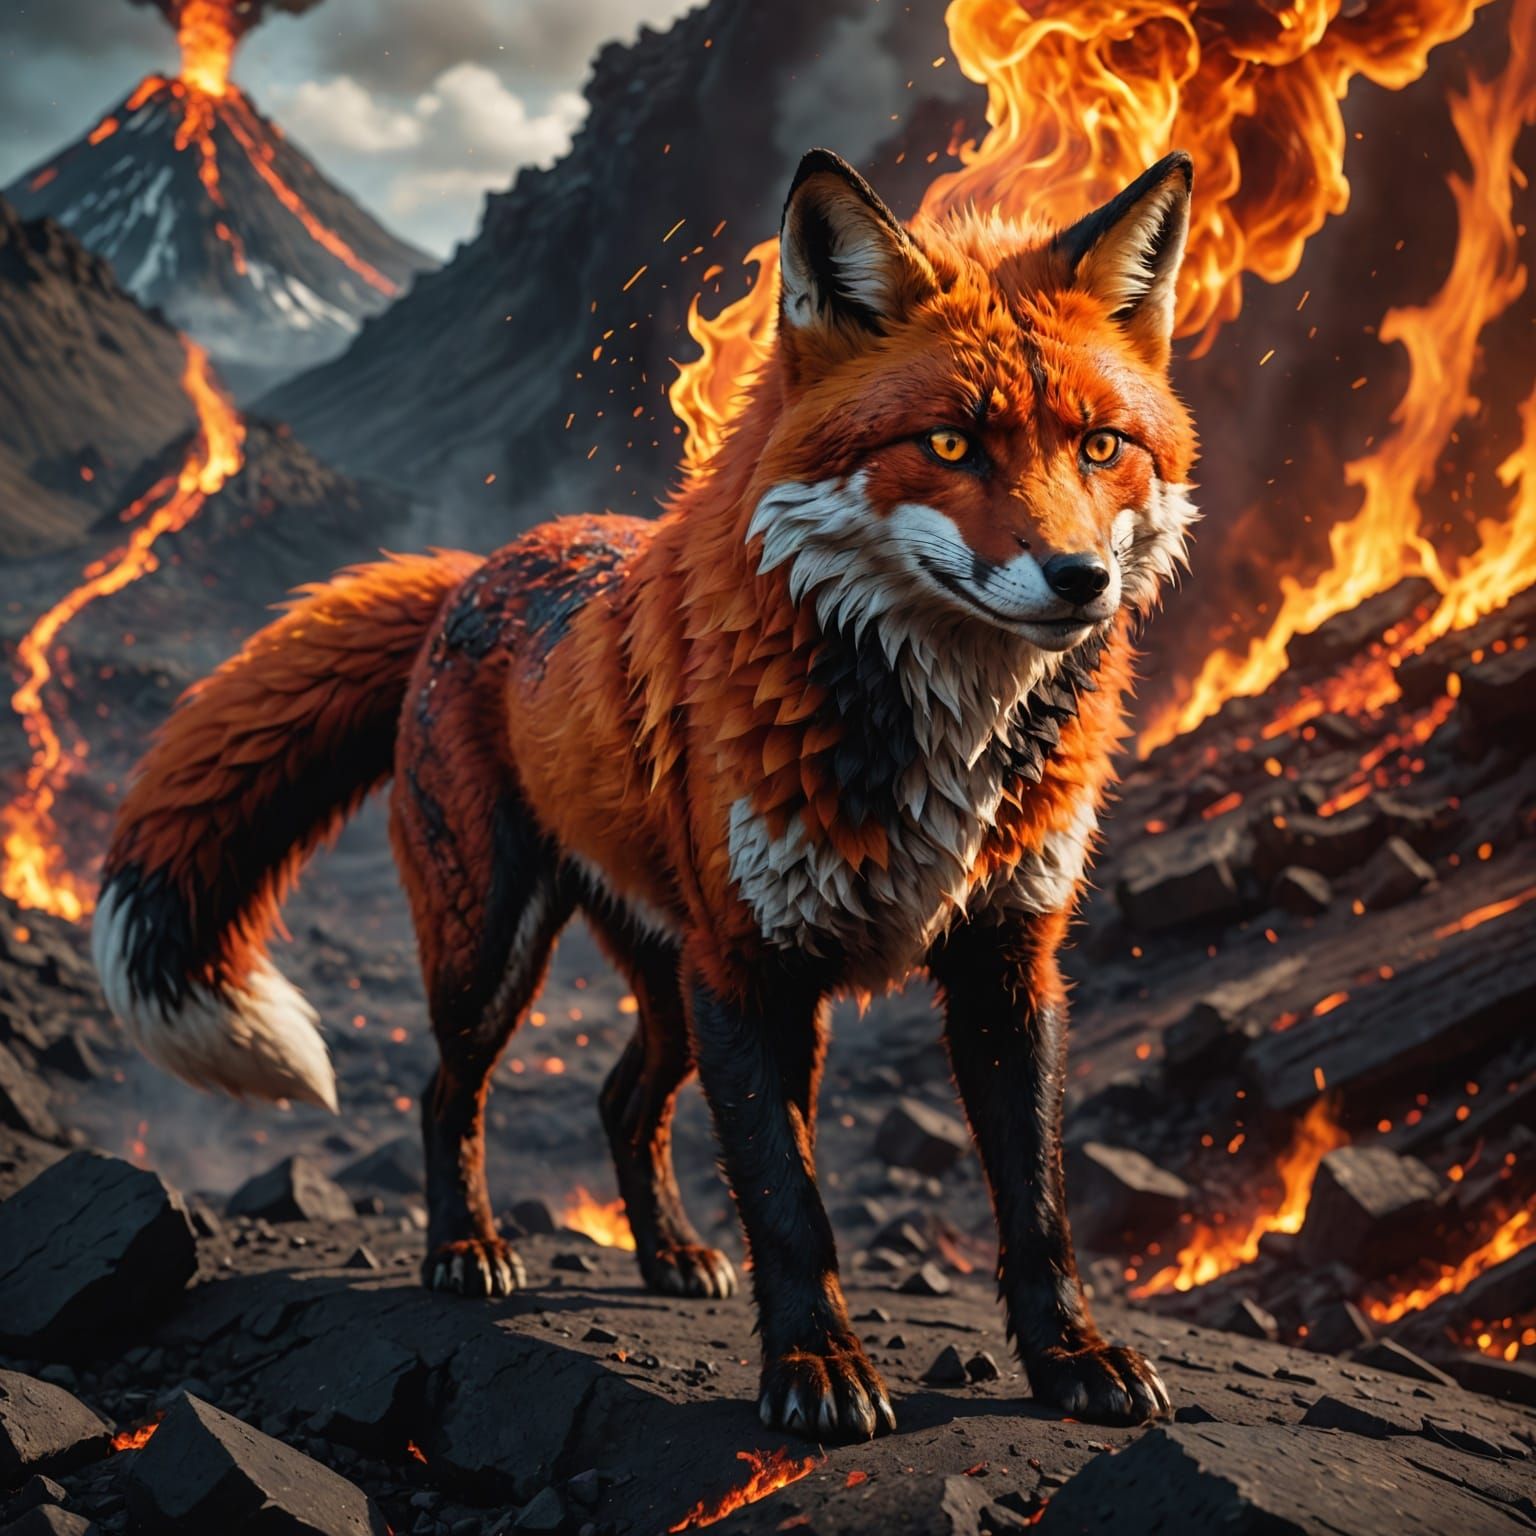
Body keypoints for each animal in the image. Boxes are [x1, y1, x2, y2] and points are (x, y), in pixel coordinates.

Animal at [94, 147, 1197, 1439]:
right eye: (951, 445)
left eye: (1101, 447)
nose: (1079, 580)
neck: (935, 740)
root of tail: (479, 567)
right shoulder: (753, 967)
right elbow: (788, 1203)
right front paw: (817, 1366)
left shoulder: (1004, 955)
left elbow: (1039, 1201)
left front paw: (1072, 1355)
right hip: (499, 951)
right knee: (443, 1092)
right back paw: (465, 1246)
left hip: (667, 981)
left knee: (624, 1100)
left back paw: (668, 1251)